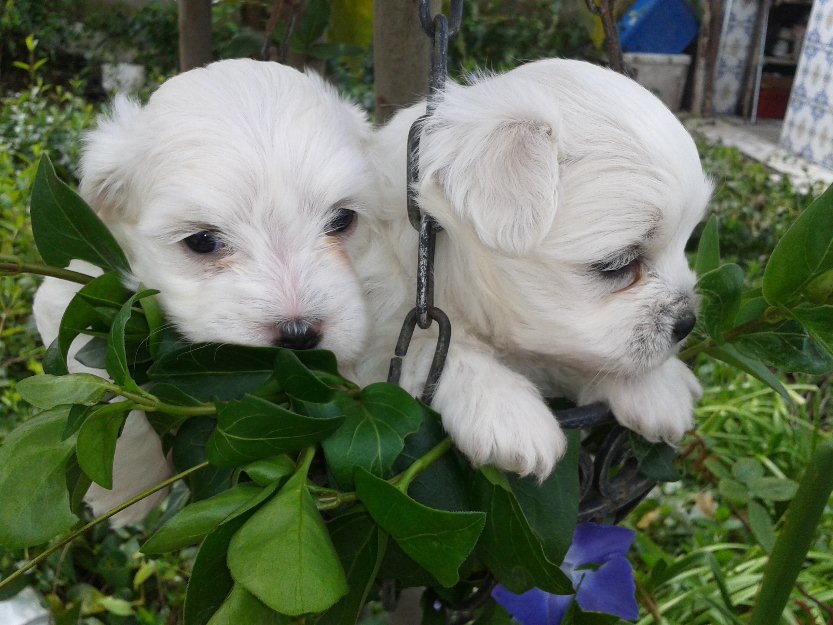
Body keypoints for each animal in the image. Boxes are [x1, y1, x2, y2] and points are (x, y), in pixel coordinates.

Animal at [32, 58, 370, 524]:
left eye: (342, 220)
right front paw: (128, 496)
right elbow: (117, 403)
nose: (299, 335)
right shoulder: (71, 300)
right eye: (203, 241)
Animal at [354, 58, 712, 478]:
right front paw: (509, 414)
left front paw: (655, 388)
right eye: (618, 265)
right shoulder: (375, 342)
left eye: (686, 242)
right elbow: (434, 346)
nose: (686, 322)